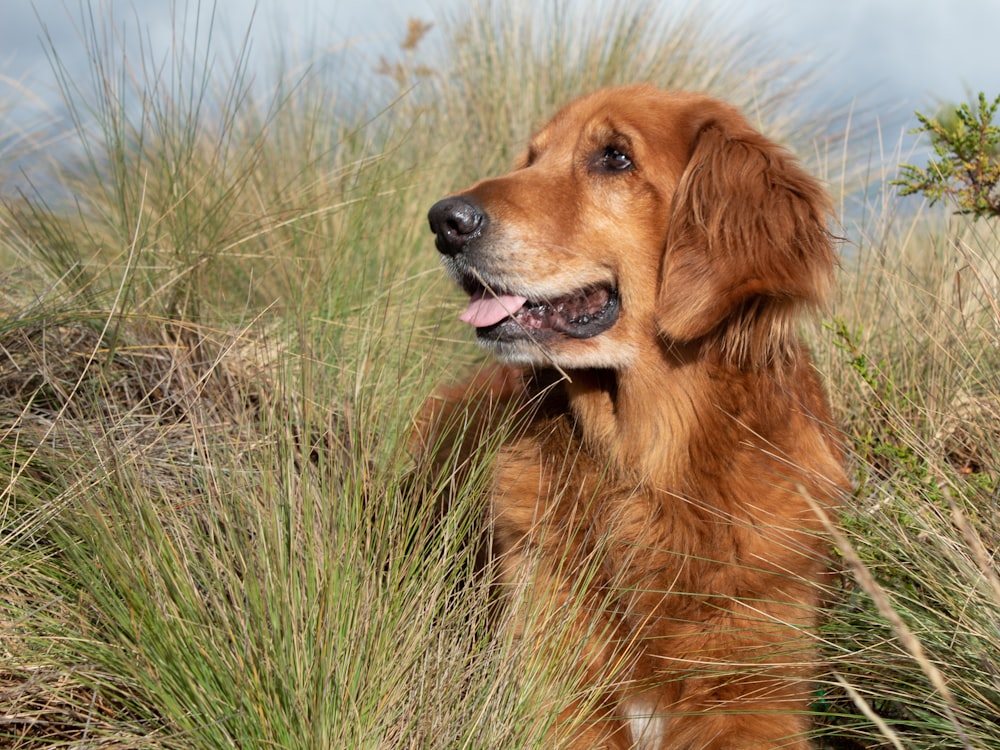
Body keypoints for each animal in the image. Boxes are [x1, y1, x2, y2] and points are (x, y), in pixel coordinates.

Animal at [418, 85, 848, 748]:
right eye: (532, 157)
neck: (643, 466)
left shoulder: (757, 698)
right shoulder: (553, 685)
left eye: (615, 157)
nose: (445, 221)